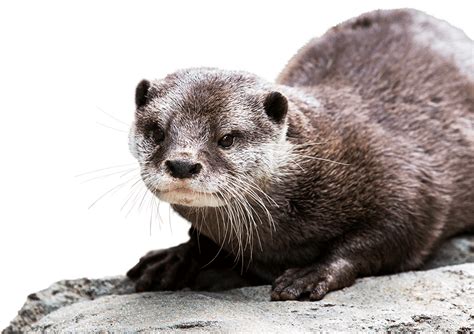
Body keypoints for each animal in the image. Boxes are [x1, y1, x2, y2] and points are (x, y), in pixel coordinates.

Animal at [126, 9, 474, 300]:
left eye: (226, 138)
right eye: (157, 132)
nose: (182, 164)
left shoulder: (411, 188)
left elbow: (390, 237)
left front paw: (312, 274)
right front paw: (175, 258)